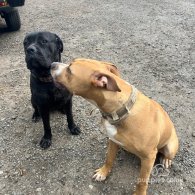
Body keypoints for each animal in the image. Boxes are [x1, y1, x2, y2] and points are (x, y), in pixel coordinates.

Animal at [51, 58, 179, 194]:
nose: (52, 64)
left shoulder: (149, 157)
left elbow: (142, 181)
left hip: (170, 147)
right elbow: (109, 158)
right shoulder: (113, 140)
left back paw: (166, 159)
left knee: (167, 154)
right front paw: (103, 172)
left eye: (69, 70)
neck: (120, 111)